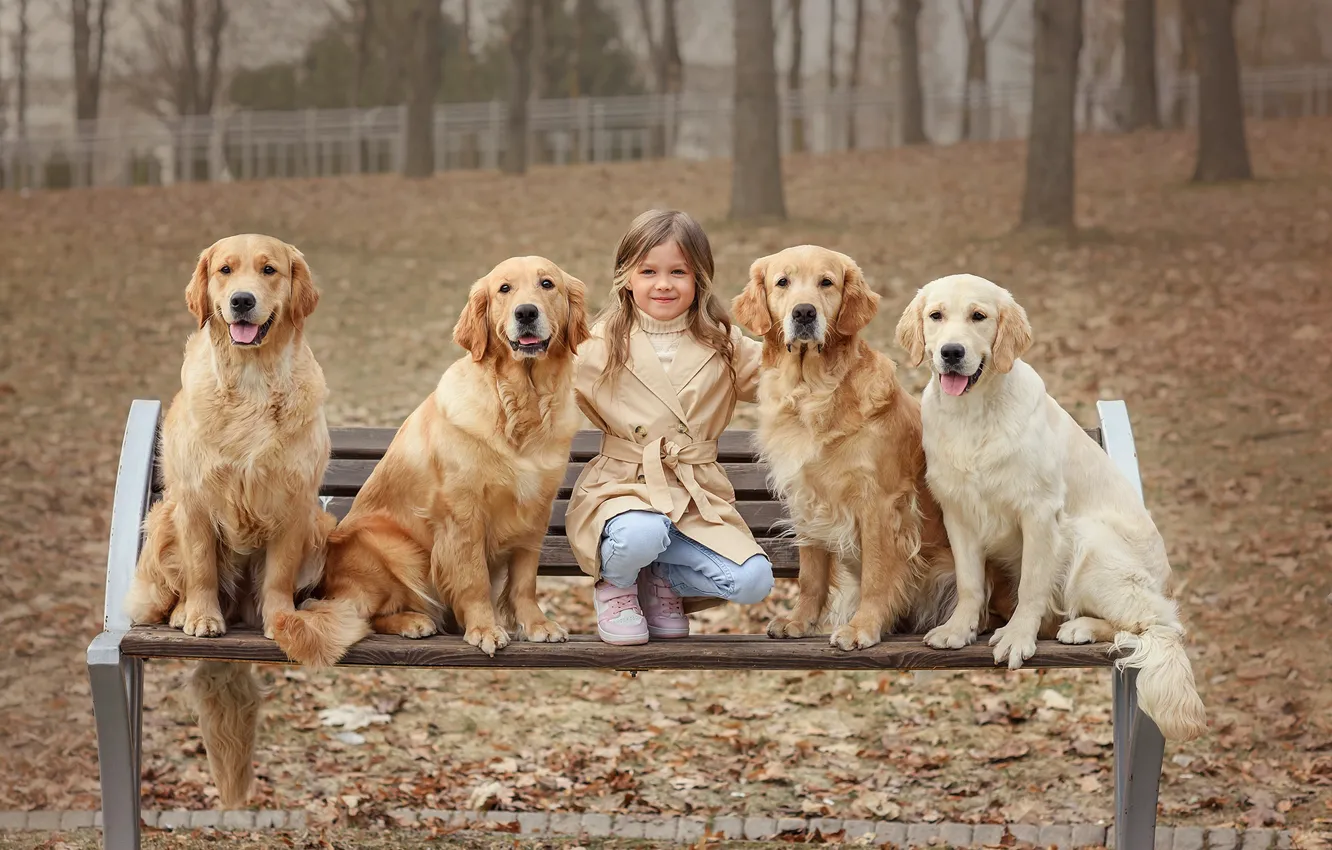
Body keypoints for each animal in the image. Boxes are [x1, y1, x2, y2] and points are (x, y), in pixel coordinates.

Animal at [124, 237, 335, 810]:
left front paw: (280, 618)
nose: (242, 300)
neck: (252, 380)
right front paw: (201, 617)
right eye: (224, 271)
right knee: (167, 593)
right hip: (163, 520)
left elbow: (279, 577)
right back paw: (181, 614)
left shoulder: (294, 505)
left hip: (320, 528)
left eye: (269, 270)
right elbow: (200, 569)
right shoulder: (195, 503)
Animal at [273, 255, 591, 668]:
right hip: (393, 547)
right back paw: (414, 621)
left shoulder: (535, 512)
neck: (520, 406)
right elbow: (473, 578)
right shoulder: (463, 514)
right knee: (361, 614)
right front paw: (485, 628)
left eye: (547, 284)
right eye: (504, 289)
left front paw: (536, 624)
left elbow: (525, 580)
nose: (526, 312)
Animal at [729, 246, 969, 652]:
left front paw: (862, 627)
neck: (811, 391)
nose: (804, 312)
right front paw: (799, 621)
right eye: (782, 282)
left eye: (827, 282)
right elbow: (811, 575)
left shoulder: (881, 504)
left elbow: (876, 574)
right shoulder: (806, 500)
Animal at [895, 277, 1209, 740]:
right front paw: (958, 628)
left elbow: (1031, 585)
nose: (951, 351)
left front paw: (1017, 636)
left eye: (978, 316)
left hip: (1091, 544)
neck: (974, 413)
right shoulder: (959, 513)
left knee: (1157, 622)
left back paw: (1079, 627)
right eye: (936, 316)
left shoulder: (1039, 514)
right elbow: (970, 582)